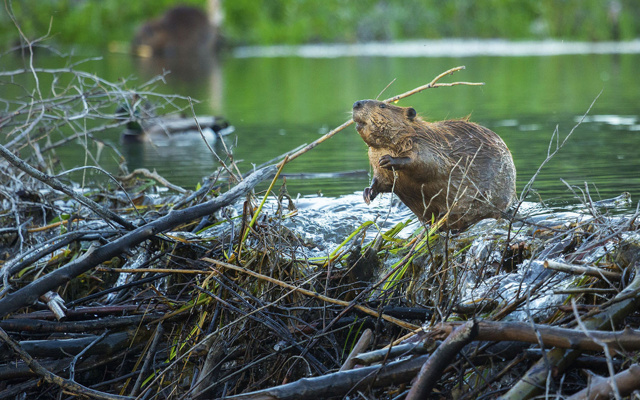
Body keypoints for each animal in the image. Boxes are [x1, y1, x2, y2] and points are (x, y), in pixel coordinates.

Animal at [352, 99, 516, 231]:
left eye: (382, 105)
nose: (356, 104)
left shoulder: (426, 144)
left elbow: (429, 164)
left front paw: (388, 160)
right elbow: (382, 181)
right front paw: (368, 193)